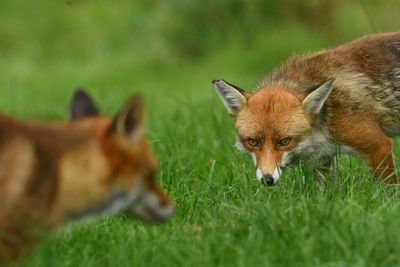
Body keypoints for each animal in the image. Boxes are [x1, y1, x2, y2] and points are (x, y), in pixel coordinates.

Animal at [216, 31, 400, 186]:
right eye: (253, 142)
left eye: (285, 141)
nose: (267, 180)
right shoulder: (322, 160)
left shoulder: (378, 145)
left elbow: (388, 189)